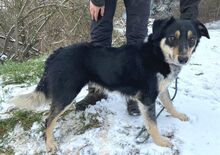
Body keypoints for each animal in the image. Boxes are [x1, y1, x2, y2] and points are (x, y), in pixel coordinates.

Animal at [10, 17, 210, 153]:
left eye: (192, 39)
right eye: (171, 38)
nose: (183, 59)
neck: (157, 54)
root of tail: (55, 54)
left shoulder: (160, 90)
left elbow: (169, 104)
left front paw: (178, 115)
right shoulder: (147, 98)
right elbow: (152, 124)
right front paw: (160, 142)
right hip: (67, 93)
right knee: (49, 119)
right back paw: (50, 143)